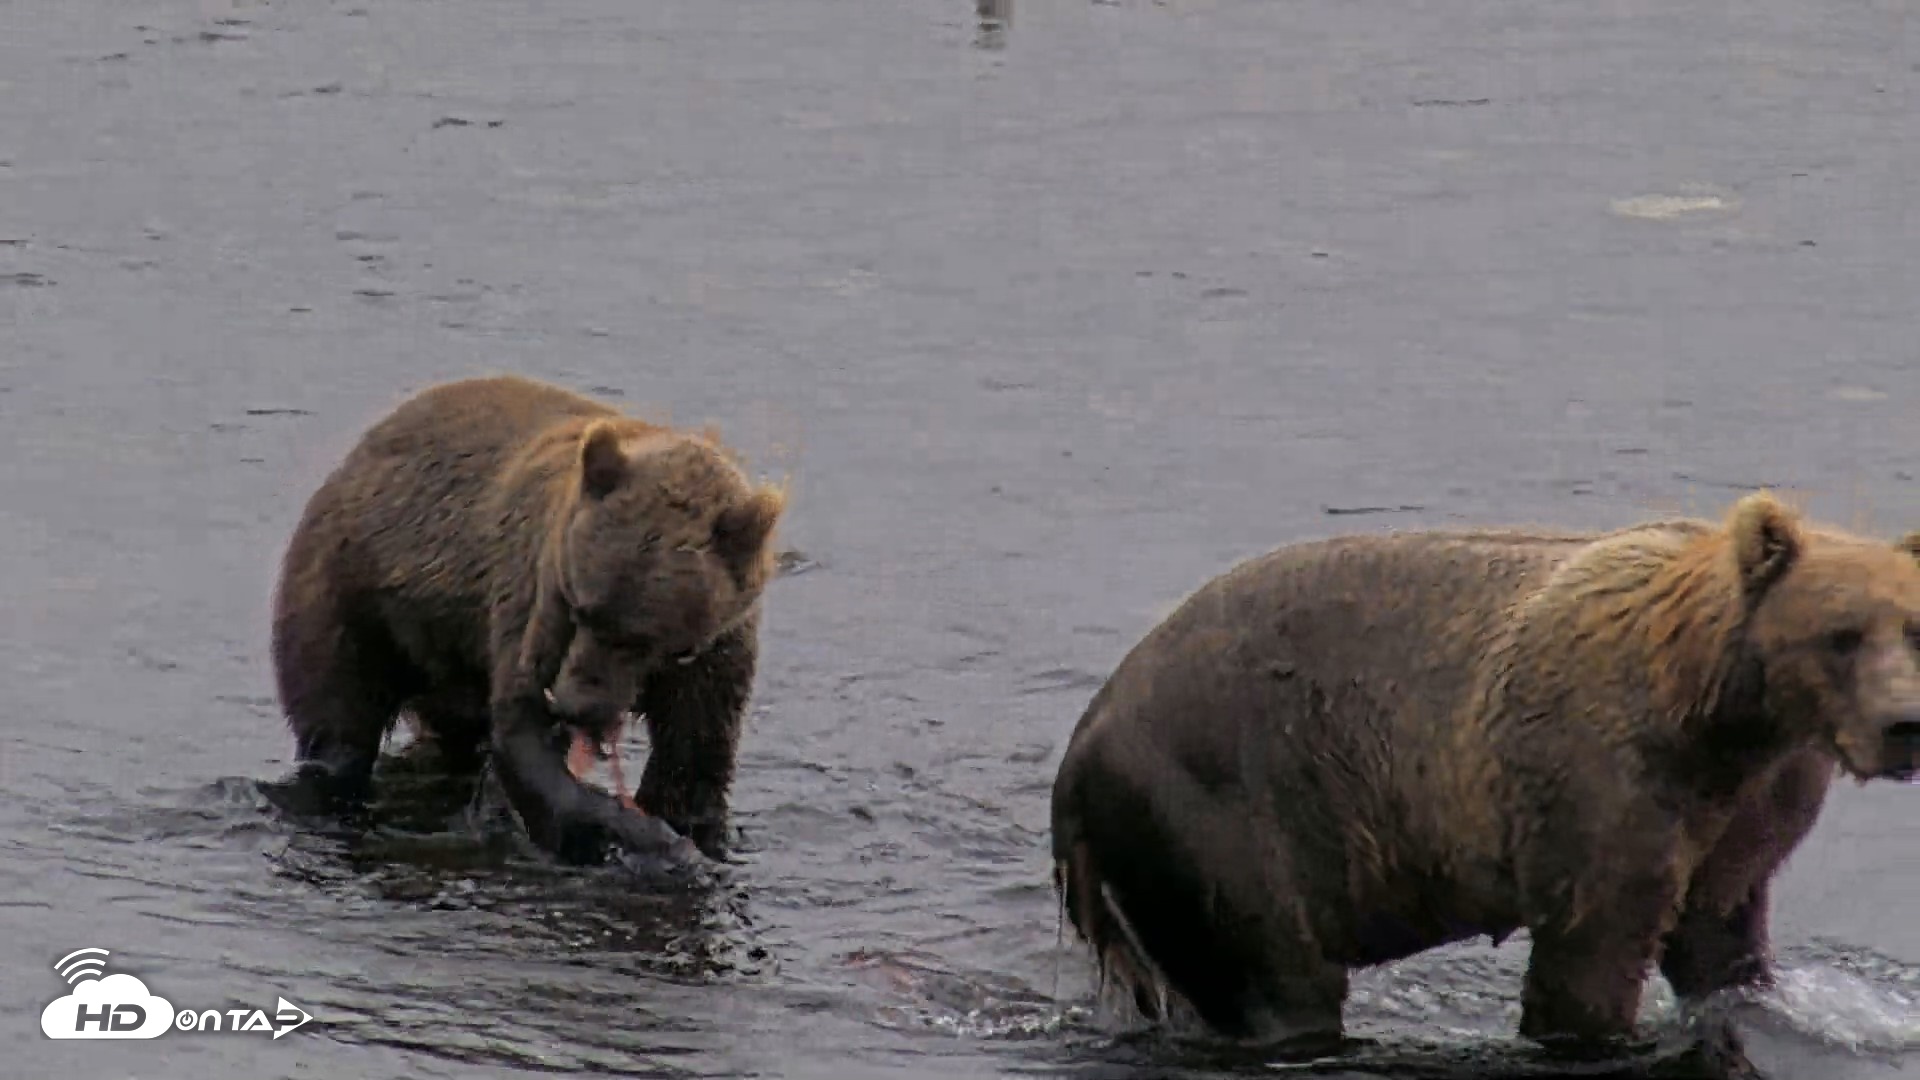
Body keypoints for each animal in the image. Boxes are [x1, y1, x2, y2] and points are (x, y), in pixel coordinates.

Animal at [264, 374, 788, 866]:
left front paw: (682, 831)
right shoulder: (534, 590)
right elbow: (523, 730)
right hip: (351, 591)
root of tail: (353, 456)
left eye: (642, 638)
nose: (576, 705)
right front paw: (641, 837)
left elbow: (693, 758)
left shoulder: (717, 652)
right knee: (338, 710)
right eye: (581, 607)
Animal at [1050, 492, 1920, 1050]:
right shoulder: (1602, 782)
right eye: (1841, 633)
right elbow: (1591, 954)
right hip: (1221, 813)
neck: (1718, 712)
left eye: (1911, 626)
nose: (1903, 725)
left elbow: (1720, 932)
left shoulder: (1751, 805)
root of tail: (1081, 746)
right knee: (1278, 979)